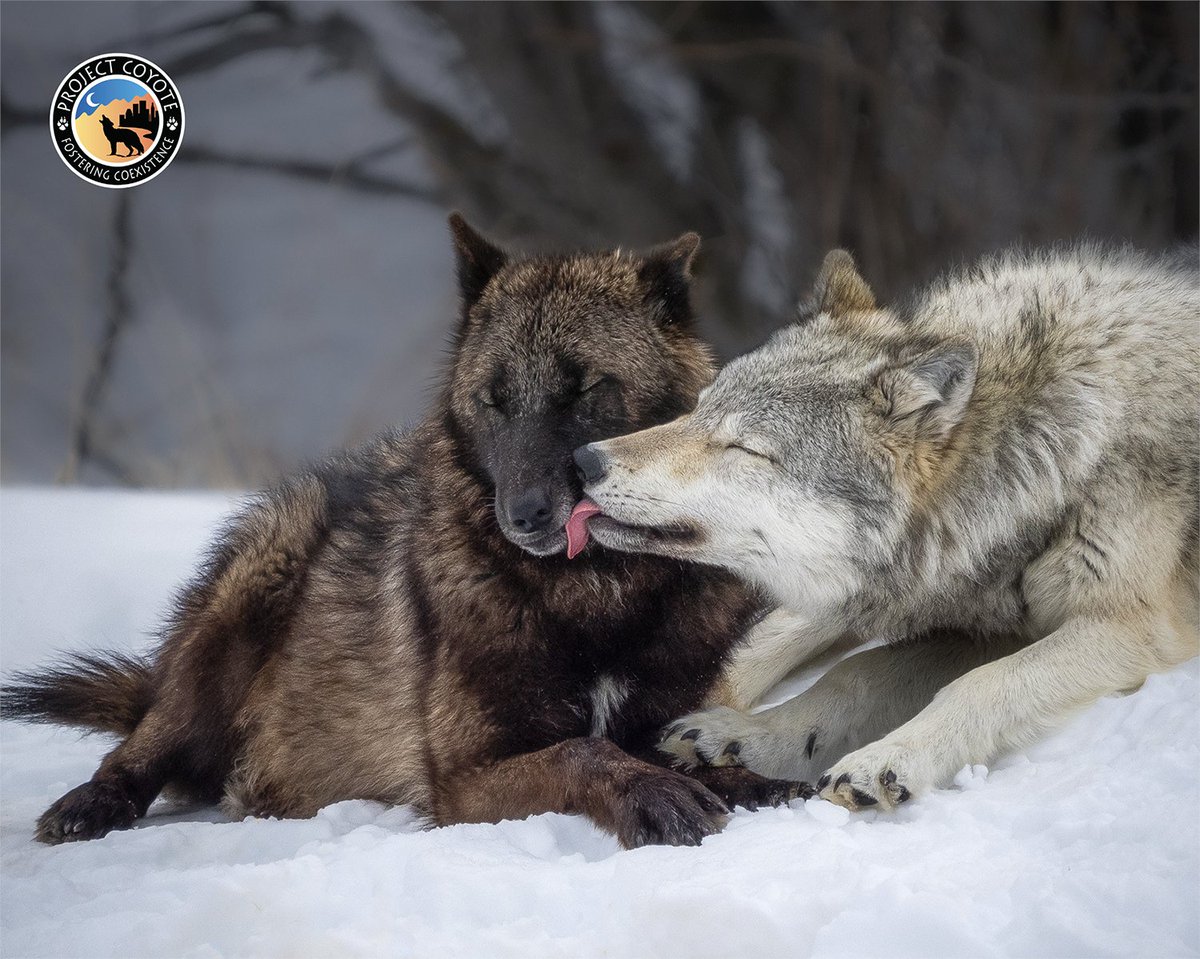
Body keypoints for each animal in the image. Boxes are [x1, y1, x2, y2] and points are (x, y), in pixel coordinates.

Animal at [4, 216, 806, 849]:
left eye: (585, 390)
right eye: (495, 399)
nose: (526, 514)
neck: (595, 592)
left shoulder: (661, 720)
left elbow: (696, 756)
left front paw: (758, 784)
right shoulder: (463, 777)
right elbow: (585, 752)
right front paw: (657, 797)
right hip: (247, 593)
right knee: (143, 745)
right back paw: (90, 805)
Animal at [576, 242, 1195, 811]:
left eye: (744, 448)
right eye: (698, 411)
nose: (583, 461)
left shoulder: (1126, 627)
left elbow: (982, 683)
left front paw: (890, 757)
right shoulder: (977, 622)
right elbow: (855, 675)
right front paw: (754, 737)